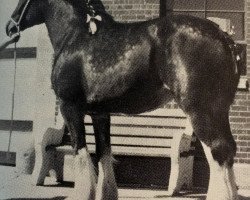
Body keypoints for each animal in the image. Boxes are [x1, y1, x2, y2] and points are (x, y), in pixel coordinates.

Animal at [6, 0, 240, 199]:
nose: (9, 27)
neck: (76, 37)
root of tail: (224, 37)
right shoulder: (100, 113)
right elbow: (104, 154)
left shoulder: (70, 108)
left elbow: (82, 154)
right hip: (218, 112)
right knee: (227, 152)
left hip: (200, 112)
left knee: (218, 153)